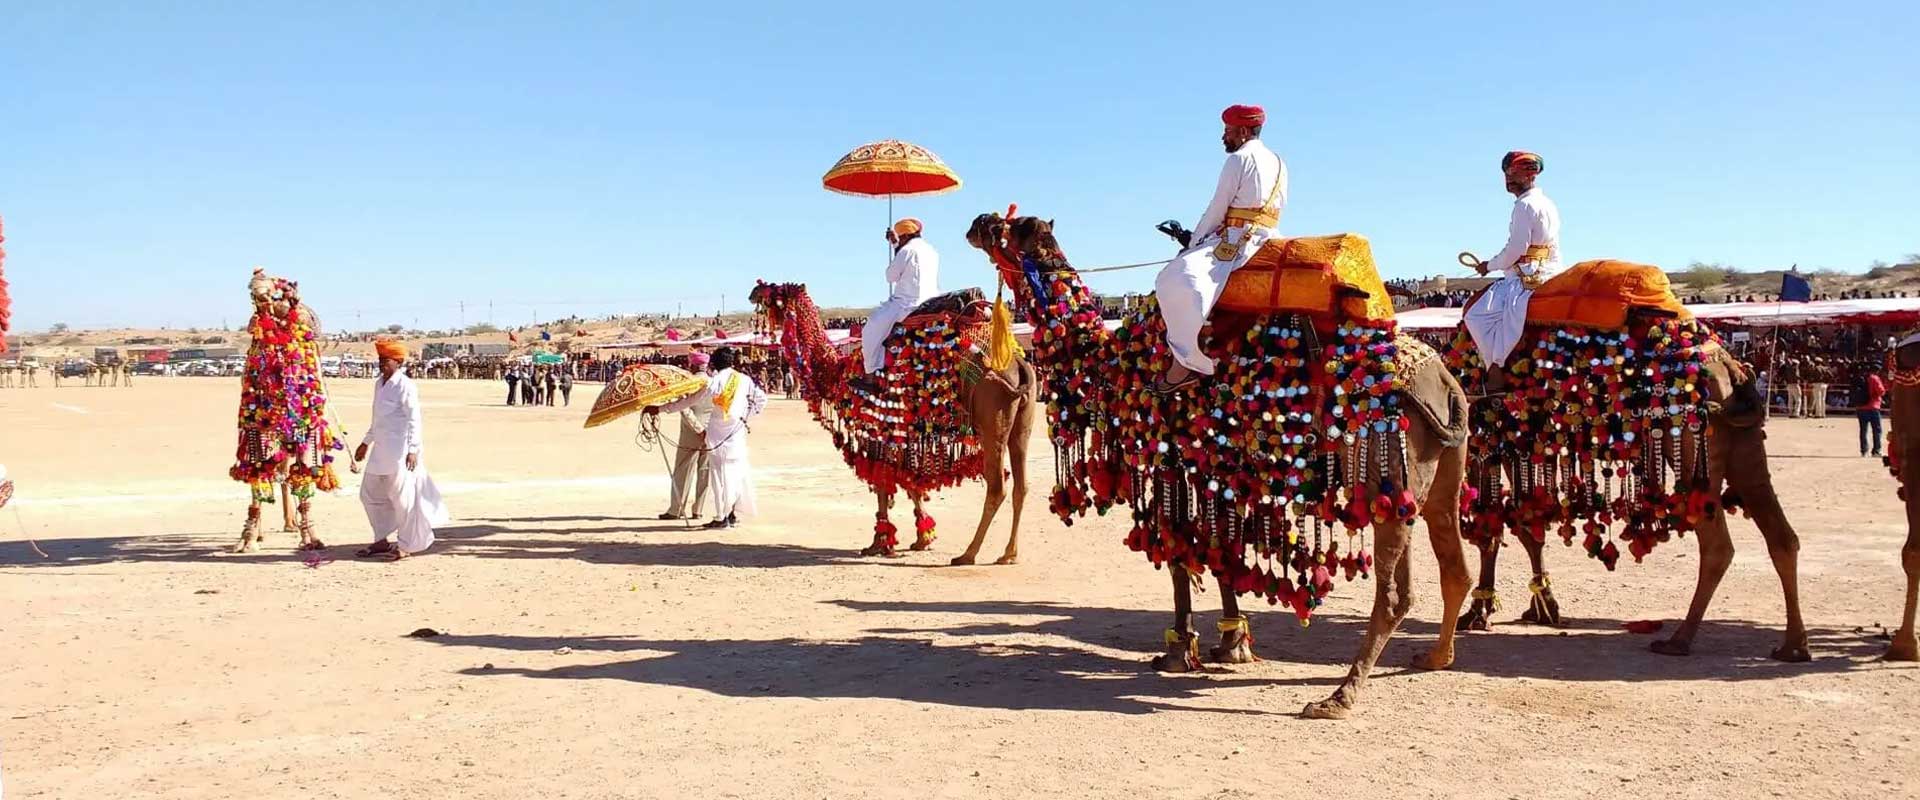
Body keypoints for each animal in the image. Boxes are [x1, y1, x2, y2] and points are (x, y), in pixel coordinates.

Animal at [747, 282, 1037, 564]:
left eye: (776, 291)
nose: (753, 292)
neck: (838, 372)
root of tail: (1019, 364)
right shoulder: (899, 431)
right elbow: (910, 481)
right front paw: (923, 538)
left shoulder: (876, 428)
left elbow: (882, 482)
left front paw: (880, 544)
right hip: (1021, 424)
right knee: (1022, 486)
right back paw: (1008, 554)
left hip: (992, 421)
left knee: (997, 487)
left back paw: (968, 554)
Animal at [969, 212, 1472, 719]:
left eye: (1012, 226)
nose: (977, 222)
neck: (1119, 361)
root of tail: (1444, 381)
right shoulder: (1215, 466)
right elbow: (1220, 553)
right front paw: (1233, 643)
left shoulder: (1171, 456)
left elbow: (1178, 552)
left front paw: (1178, 651)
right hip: (1436, 476)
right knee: (1450, 566)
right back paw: (1434, 656)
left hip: (1384, 467)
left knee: (1394, 593)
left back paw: (1338, 697)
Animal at [1445, 297, 1810, 662]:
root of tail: (1732, 369)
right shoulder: (1507, 446)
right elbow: (1517, 527)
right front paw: (1531, 607)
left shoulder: (1491, 443)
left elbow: (1501, 530)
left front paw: (1492, 611)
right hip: (1744, 448)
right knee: (1782, 537)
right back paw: (1793, 646)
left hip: (1695, 444)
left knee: (1718, 546)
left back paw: (1678, 640)